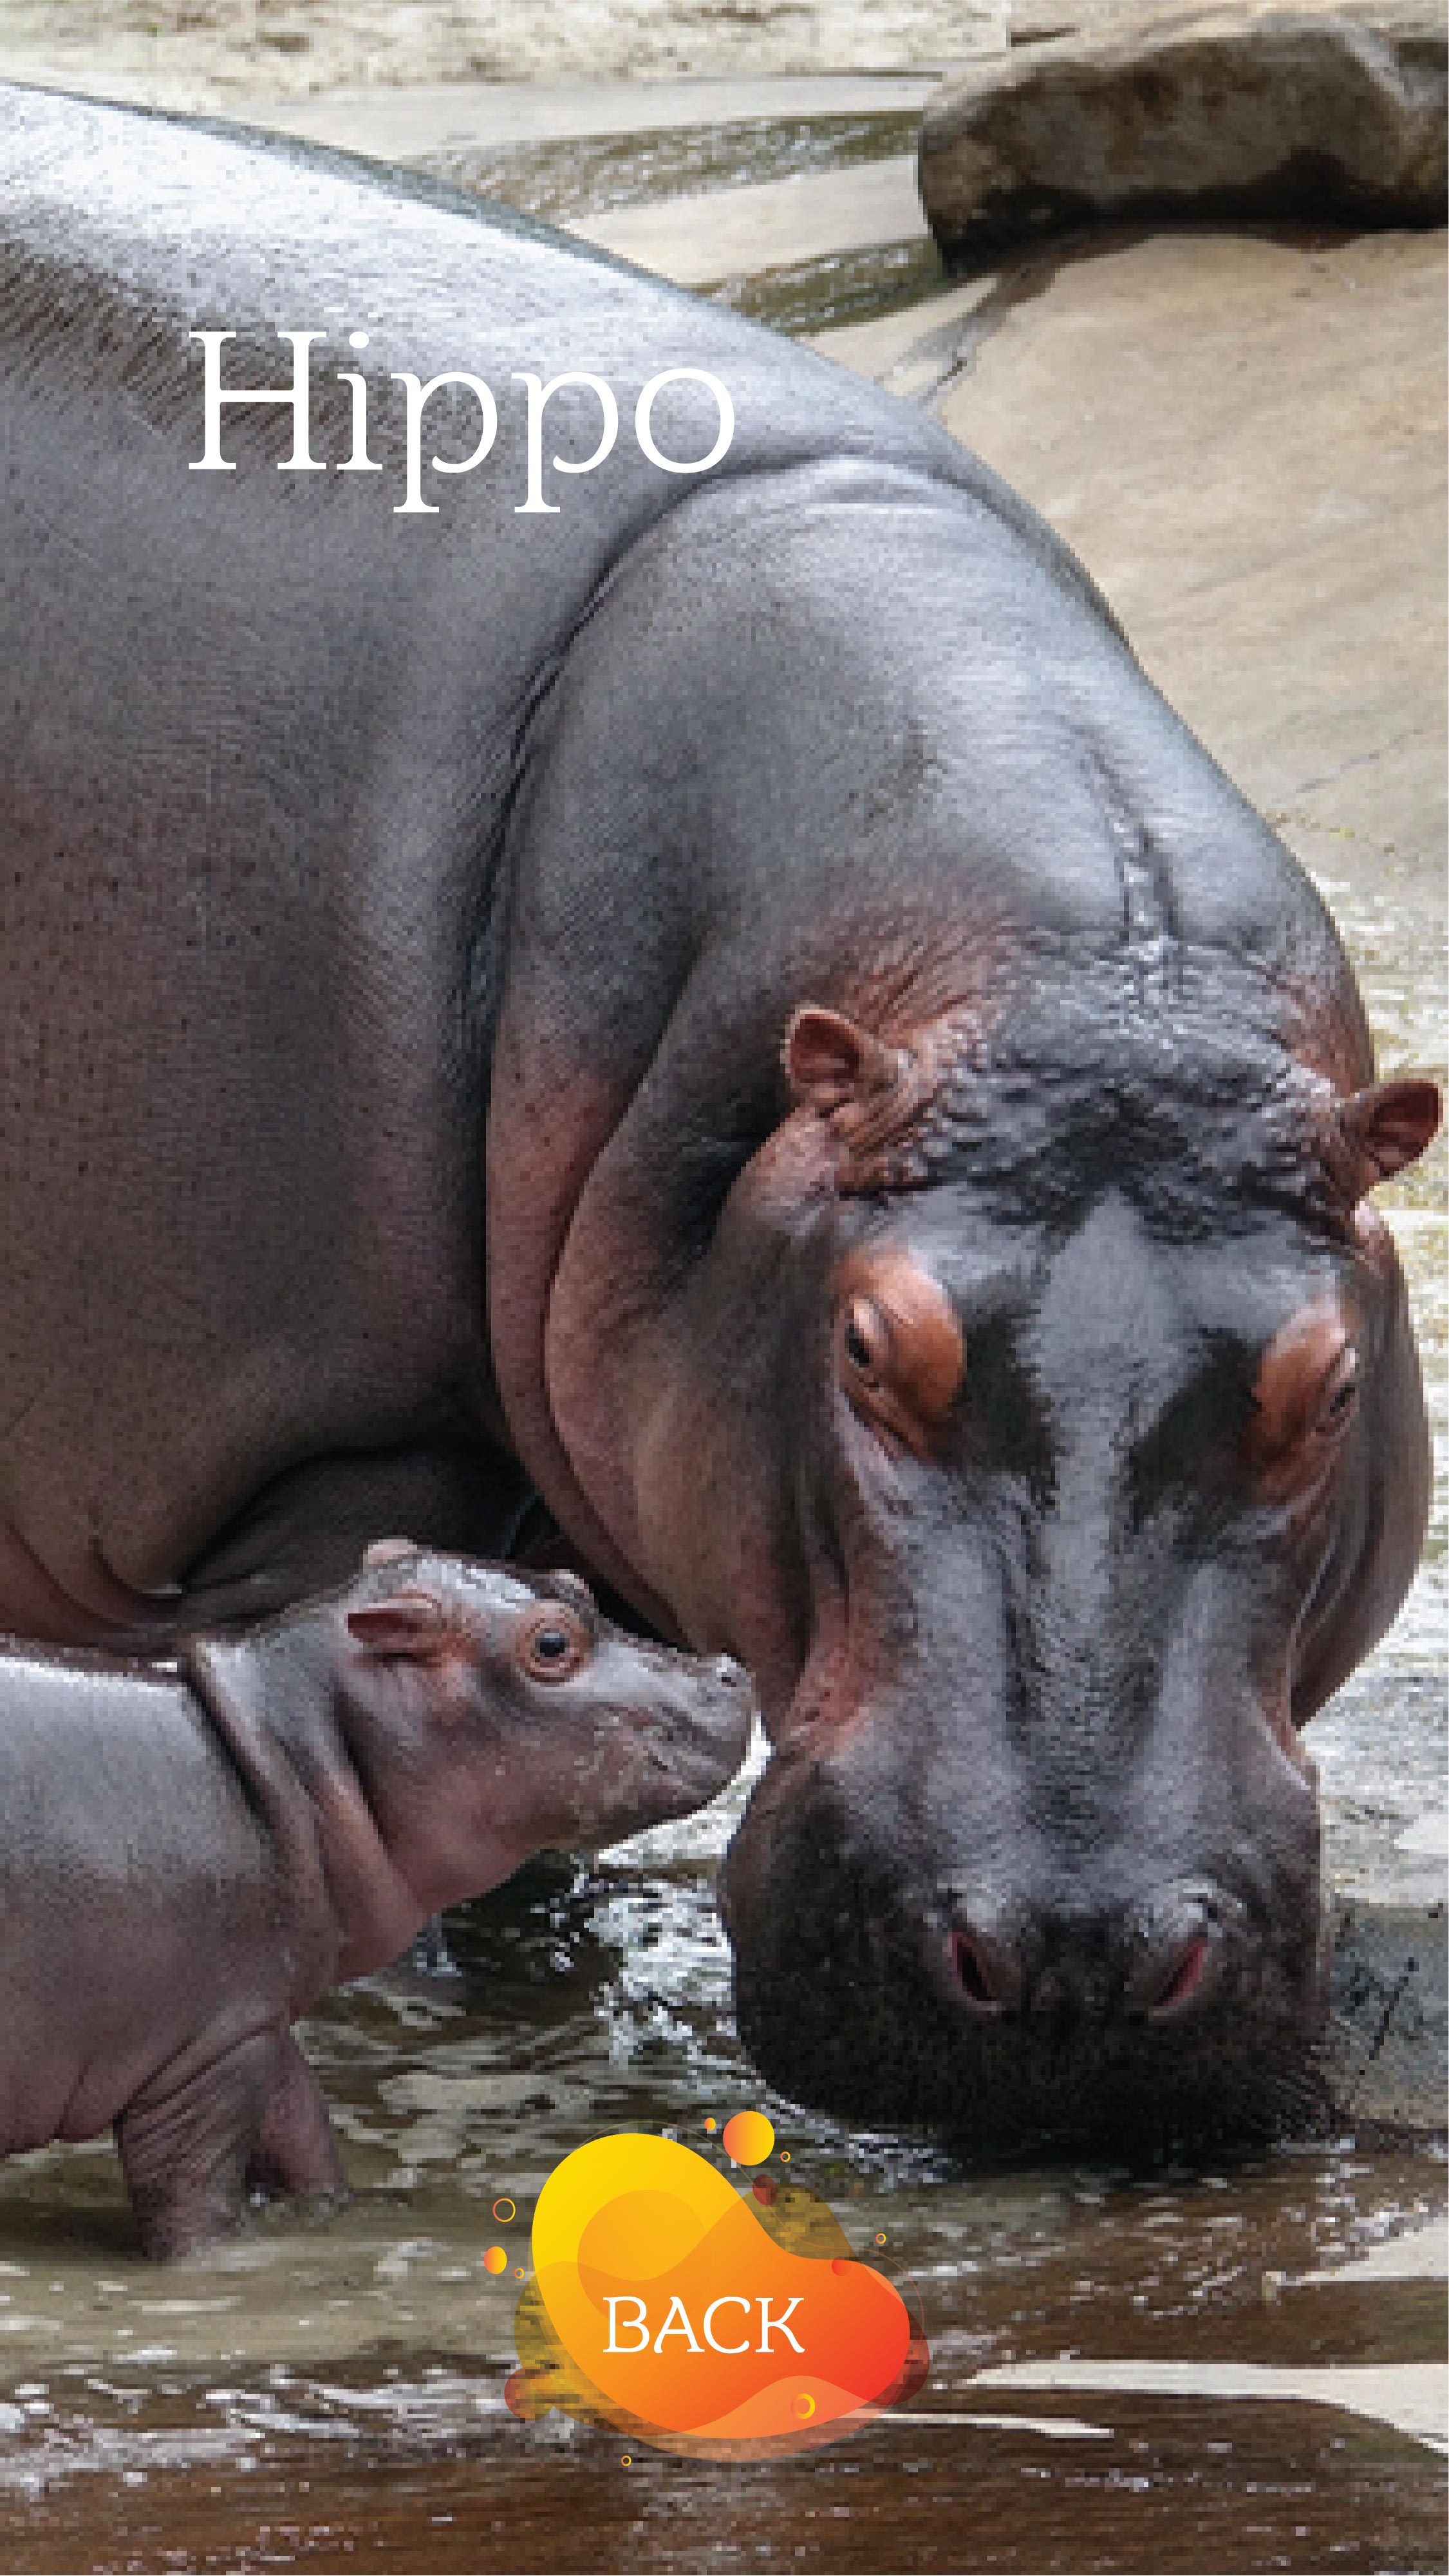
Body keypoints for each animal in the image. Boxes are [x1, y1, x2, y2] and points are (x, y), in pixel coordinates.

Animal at [0, 1547, 751, 2257]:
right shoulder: (207, 2048)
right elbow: (193, 2186)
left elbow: (303, 2127)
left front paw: (344, 2217)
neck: (282, 1752)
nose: (727, 1670)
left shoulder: (260, 2018)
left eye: (576, 1580)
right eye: (550, 1643)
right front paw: (221, 2259)